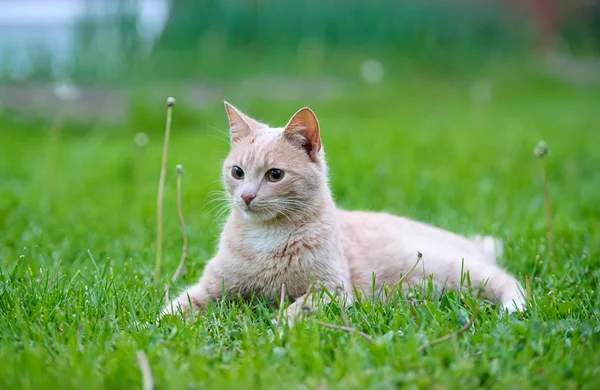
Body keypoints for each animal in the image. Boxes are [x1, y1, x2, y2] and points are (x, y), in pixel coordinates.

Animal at [161, 102, 524, 322]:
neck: (265, 237)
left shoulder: (331, 290)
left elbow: (295, 311)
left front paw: (275, 328)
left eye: (275, 175)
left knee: (509, 280)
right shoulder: (212, 285)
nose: (247, 196)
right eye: (237, 172)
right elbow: (176, 308)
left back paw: (514, 308)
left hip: (454, 269)